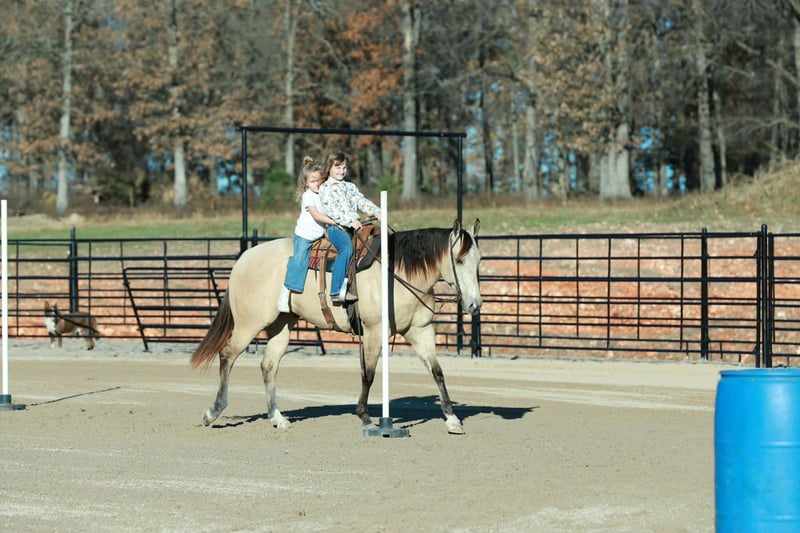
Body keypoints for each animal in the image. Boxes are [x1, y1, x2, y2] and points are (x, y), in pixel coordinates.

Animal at [190, 218, 482, 434]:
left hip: (281, 325)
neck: (396, 274)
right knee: (227, 355)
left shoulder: (420, 330)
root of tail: (244, 258)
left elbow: (437, 372)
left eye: (478, 261)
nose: (475, 304)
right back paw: (212, 412)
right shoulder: (374, 331)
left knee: (268, 366)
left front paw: (452, 419)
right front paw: (365, 417)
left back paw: (278, 417)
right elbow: (368, 374)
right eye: (459, 260)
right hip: (249, 323)